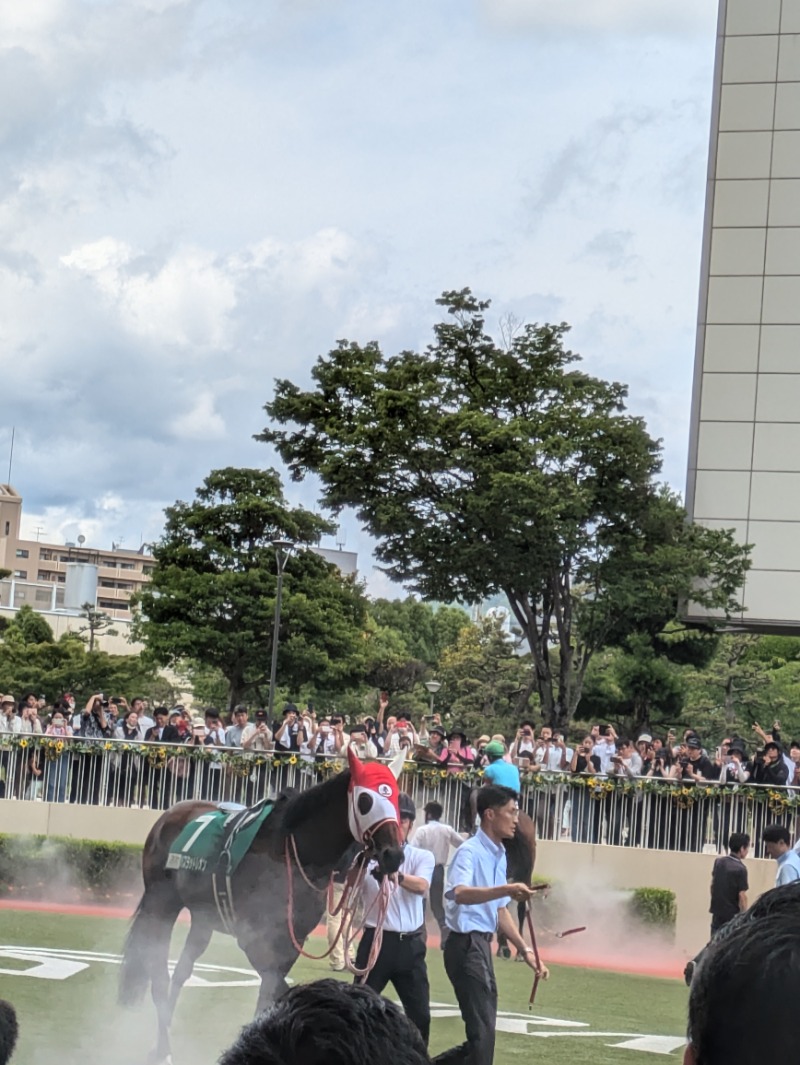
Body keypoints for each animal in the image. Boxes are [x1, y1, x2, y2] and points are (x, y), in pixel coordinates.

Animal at [117, 766, 406, 1065]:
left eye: (395, 798)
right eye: (365, 801)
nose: (393, 855)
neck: (295, 850)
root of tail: (169, 814)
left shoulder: (293, 939)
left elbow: (271, 993)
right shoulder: (254, 937)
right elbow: (279, 990)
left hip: (203, 917)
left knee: (181, 972)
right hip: (161, 903)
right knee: (158, 974)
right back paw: (164, 1050)